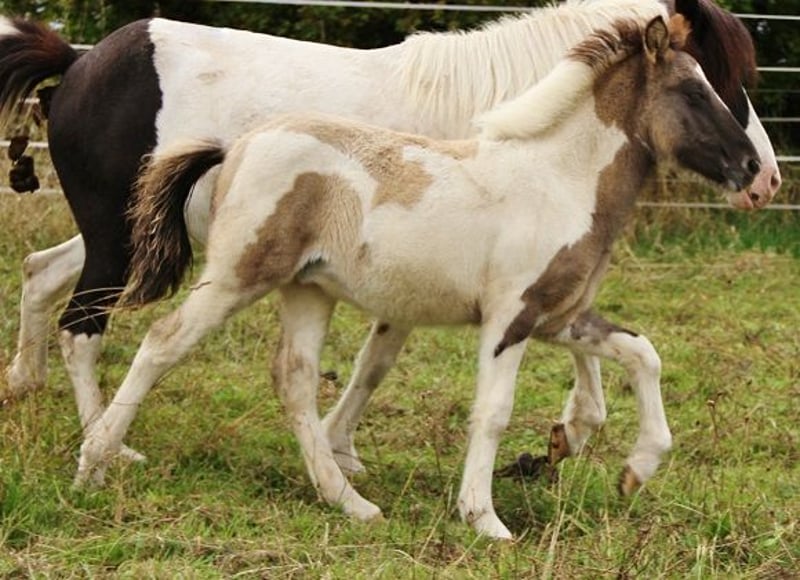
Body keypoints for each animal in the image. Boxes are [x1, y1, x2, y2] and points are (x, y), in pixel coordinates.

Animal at [0, 0, 781, 470]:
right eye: (713, 81)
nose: (765, 178)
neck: (504, 122)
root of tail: (80, 59)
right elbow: (382, 362)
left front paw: (573, 429)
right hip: (122, 240)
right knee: (83, 326)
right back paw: (104, 447)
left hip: (129, 235)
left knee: (42, 275)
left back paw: (27, 387)